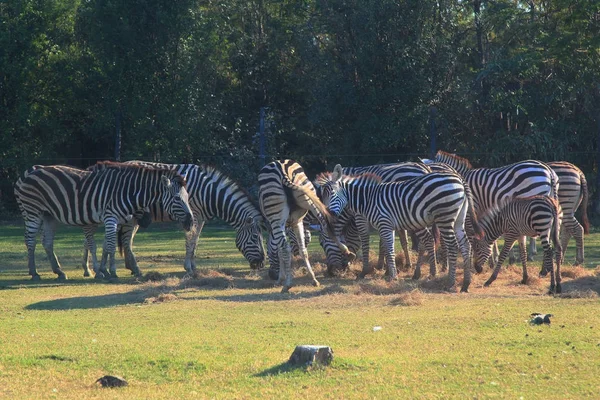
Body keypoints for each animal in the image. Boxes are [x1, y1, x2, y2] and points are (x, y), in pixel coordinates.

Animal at [14, 161, 193, 280]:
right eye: (177, 198)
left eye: (188, 197)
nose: (191, 222)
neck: (127, 192)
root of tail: (30, 172)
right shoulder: (110, 217)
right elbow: (110, 246)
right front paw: (111, 272)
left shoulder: (114, 220)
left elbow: (107, 245)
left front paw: (103, 270)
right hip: (33, 211)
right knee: (30, 241)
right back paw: (34, 273)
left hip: (48, 215)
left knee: (47, 242)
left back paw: (59, 271)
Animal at [104, 160, 266, 276]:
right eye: (254, 238)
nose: (261, 264)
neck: (209, 193)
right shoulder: (192, 215)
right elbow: (190, 240)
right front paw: (188, 267)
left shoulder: (200, 218)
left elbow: (195, 241)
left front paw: (193, 266)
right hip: (130, 216)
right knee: (126, 239)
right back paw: (134, 268)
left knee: (126, 239)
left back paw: (130, 267)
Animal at [256, 159, 352, 294]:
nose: (271, 275)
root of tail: (281, 168)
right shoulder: (297, 222)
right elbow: (303, 248)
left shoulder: (281, 226)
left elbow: (279, 250)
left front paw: (281, 278)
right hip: (308, 198)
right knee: (325, 225)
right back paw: (346, 252)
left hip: (277, 217)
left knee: (285, 248)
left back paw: (287, 284)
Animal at [318, 164, 482, 292]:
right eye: (323, 197)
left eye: (332, 193)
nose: (328, 214)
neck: (367, 199)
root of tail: (460, 179)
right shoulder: (386, 226)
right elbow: (387, 248)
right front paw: (389, 273)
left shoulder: (383, 223)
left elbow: (387, 249)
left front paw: (392, 277)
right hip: (458, 219)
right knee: (465, 245)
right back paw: (465, 284)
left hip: (445, 217)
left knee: (452, 246)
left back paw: (450, 283)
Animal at [424, 152, 560, 274]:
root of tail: (548, 170)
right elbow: (489, 235)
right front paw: (493, 259)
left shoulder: (470, 213)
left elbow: (472, 235)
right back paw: (545, 268)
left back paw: (542, 266)